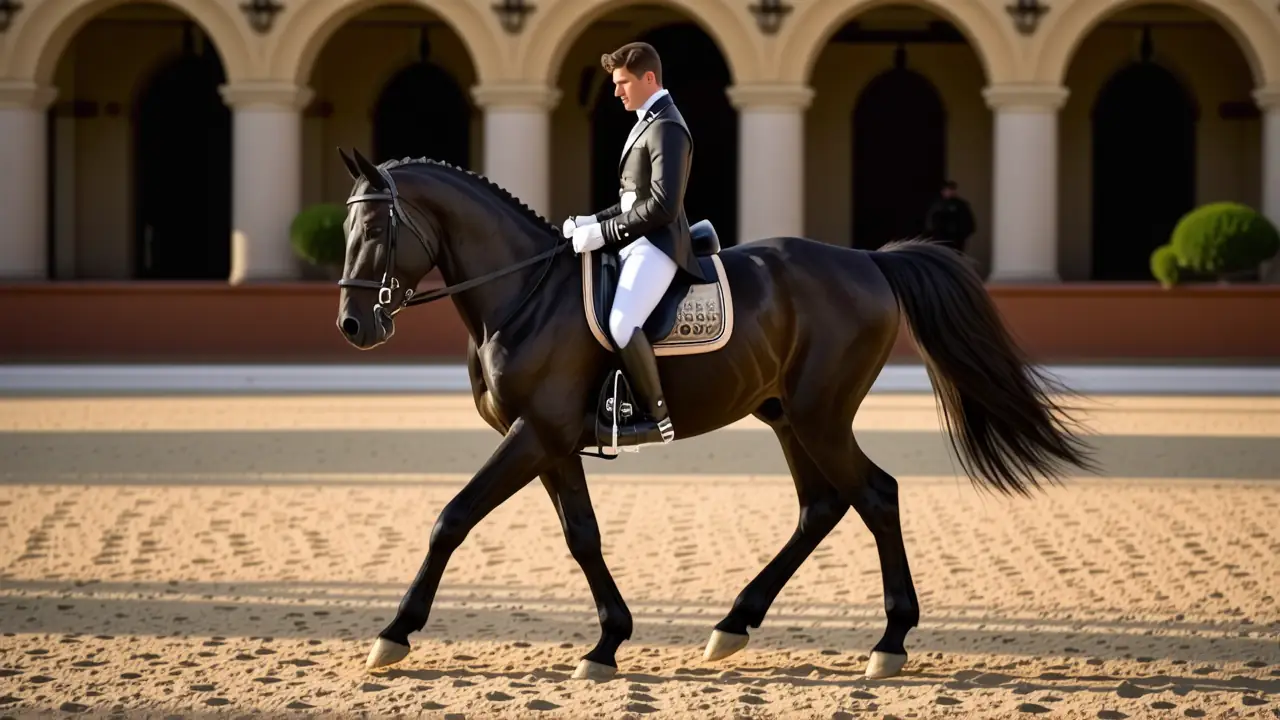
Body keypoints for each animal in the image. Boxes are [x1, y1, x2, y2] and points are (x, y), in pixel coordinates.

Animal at [333, 146, 1097, 682]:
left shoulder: (536, 434)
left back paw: (889, 642)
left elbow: (452, 517)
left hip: (820, 415)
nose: (352, 325)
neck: (524, 294)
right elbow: (583, 537)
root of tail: (867, 262)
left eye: (374, 225)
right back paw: (734, 624)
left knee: (876, 496)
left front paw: (394, 634)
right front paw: (608, 642)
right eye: (343, 223)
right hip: (786, 415)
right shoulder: (551, 441)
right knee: (821, 506)